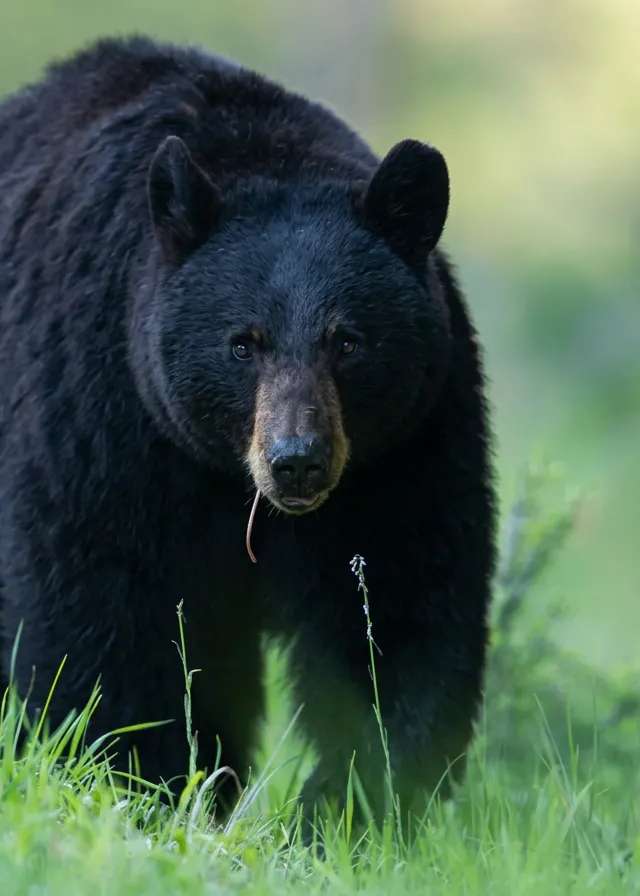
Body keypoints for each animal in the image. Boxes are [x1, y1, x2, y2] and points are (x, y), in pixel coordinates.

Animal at [0, 36, 496, 819]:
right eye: (243, 343)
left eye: (347, 341)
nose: (297, 460)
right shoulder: (98, 412)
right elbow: (98, 605)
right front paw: (139, 784)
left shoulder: (406, 448)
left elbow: (398, 607)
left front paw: (348, 808)